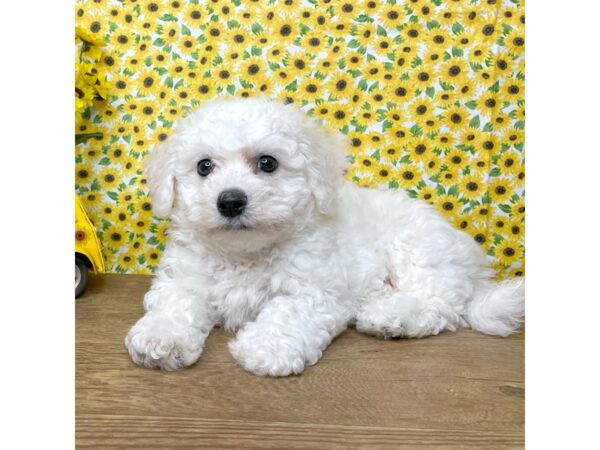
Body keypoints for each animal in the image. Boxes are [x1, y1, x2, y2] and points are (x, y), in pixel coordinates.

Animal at [124, 97, 524, 376]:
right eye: (204, 167)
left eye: (267, 163)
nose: (231, 201)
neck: (245, 254)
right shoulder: (186, 278)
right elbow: (175, 304)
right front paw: (161, 338)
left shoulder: (316, 290)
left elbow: (287, 312)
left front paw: (266, 348)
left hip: (418, 249)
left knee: (439, 304)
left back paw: (390, 318)